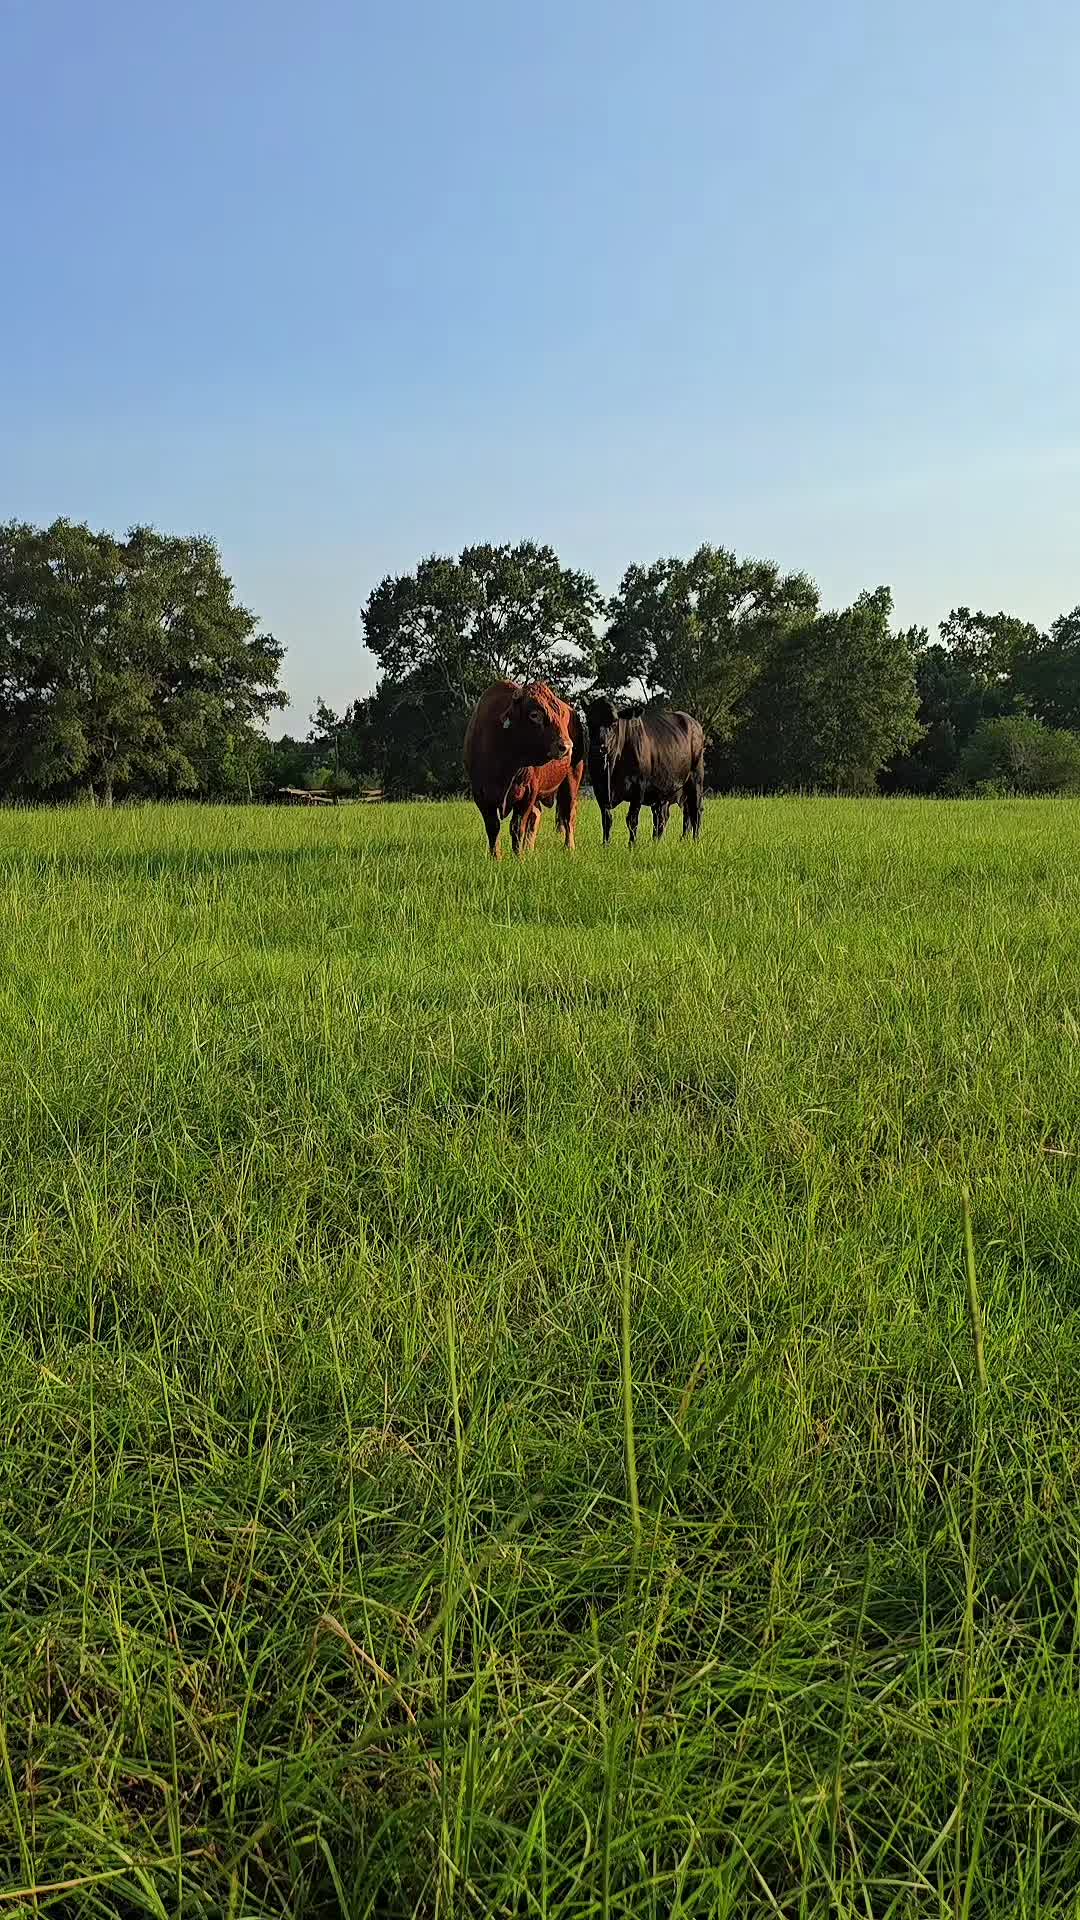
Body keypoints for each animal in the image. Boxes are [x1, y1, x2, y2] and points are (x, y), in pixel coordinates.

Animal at [464, 680, 588, 859]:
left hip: (572, 778)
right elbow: (493, 827)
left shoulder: (528, 793)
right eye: (534, 715)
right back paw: (529, 848)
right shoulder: (481, 795)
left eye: (558, 712)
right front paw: (497, 857)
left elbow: (517, 827)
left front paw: (518, 857)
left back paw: (569, 847)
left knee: (569, 813)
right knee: (537, 815)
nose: (566, 746)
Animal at [584, 698, 705, 845]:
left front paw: (632, 845)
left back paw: (695, 840)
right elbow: (607, 819)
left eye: (614, 722)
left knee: (695, 811)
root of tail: (693, 722)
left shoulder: (638, 787)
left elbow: (632, 819)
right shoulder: (599, 789)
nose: (599, 747)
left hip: (695, 780)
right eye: (589, 721)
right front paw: (606, 845)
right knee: (664, 817)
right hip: (665, 792)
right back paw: (665, 841)